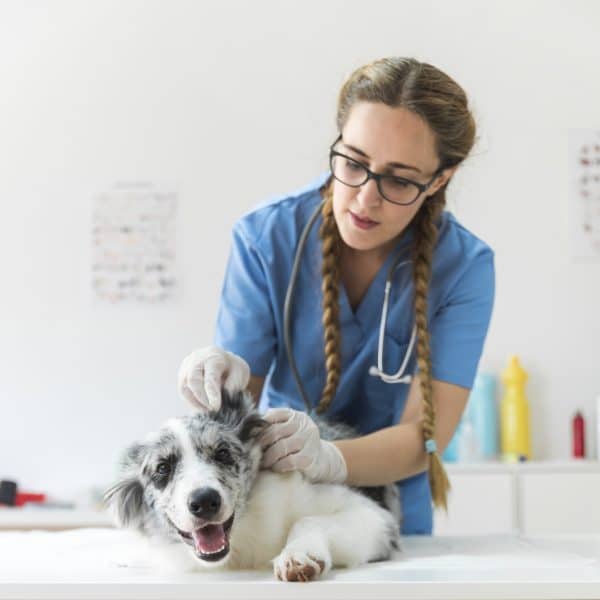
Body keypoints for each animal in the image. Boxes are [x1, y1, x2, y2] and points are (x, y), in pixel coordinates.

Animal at [105, 386, 400, 580]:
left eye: (223, 453)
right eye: (162, 468)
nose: (204, 501)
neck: (242, 539)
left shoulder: (375, 517)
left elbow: (308, 520)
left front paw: (298, 556)